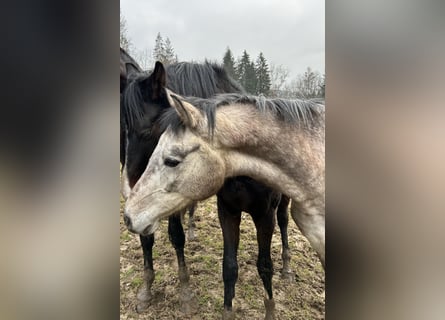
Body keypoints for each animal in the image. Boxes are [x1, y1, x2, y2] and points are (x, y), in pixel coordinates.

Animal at [121, 60, 294, 320]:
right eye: (125, 130)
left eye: (151, 130)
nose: (128, 189)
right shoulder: (228, 210)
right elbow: (229, 266)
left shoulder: (264, 215)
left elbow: (265, 266)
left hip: (282, 202)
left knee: (283, 221)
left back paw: (287, 267)